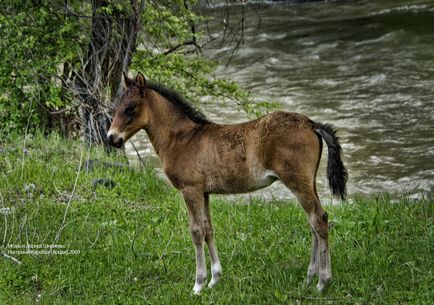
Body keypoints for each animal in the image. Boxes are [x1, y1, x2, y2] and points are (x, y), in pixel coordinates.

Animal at [107, 72, 350, 294]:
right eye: (117, 106)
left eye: (130, 107)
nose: (111, 138)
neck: (181, 138)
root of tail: (311, 124)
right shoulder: (204, 192)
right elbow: (208, 229)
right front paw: (215, 279)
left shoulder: (190, 189)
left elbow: (196, 231)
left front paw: (198, 284)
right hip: (309, 183)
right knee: (314, 222)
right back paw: (309, 277)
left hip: (297, 182)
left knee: (319, 219)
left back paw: (322, 281)